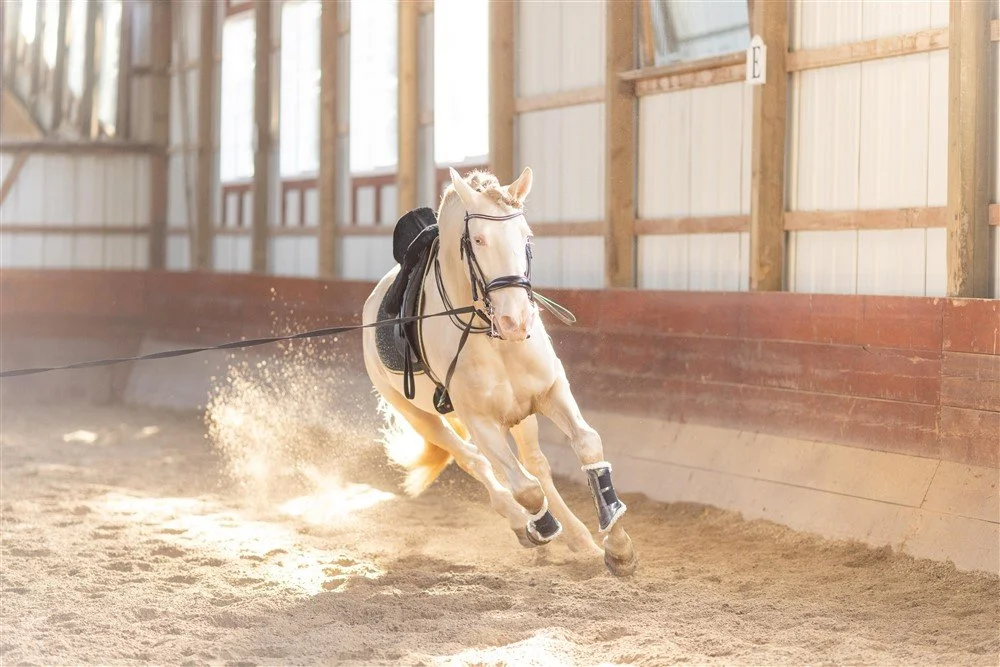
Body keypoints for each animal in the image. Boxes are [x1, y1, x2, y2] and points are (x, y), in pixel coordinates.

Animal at [361, 167, 637, 576]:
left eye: (526, 236)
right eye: (478, 239)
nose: (515, 321)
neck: (493, 338)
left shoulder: (550, 392)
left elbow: (587, 446)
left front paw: (617, 548)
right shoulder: (479, 420)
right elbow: (524, 488)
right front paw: (541, 526)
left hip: (520, 415)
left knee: (535, 464)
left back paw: (578, 538)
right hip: (419, 416)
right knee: (476, 462)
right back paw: (523, 524)